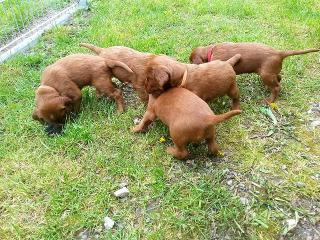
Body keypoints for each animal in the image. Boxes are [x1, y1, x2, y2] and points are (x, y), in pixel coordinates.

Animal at [189, 42, 318, 102]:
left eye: (190, 60)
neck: (210, 51)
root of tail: (279, 53)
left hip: (265, 74)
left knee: (277, 87)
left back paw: (269, 100)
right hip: (270, 72)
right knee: (278, 78)